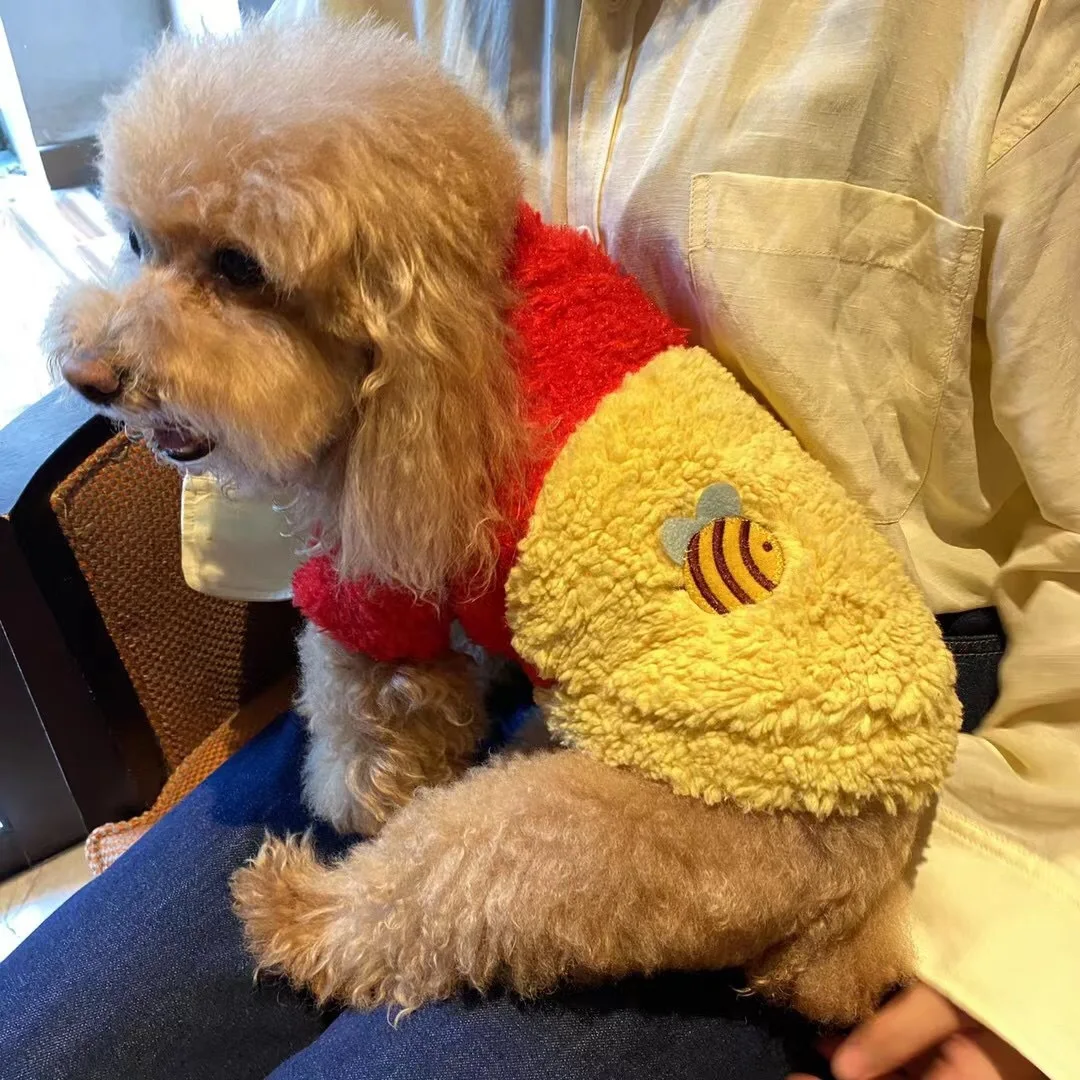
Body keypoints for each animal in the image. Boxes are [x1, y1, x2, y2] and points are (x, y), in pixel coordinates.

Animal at [50, 18, 960, 1024]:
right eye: (135, 241)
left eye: (239, 267)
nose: (88, 377)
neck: (461, 304)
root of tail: (865, 892)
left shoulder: (383, 562)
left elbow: (357, 691)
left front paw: (353, 794)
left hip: (577, 840)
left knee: (422, 898)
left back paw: (293, 907)